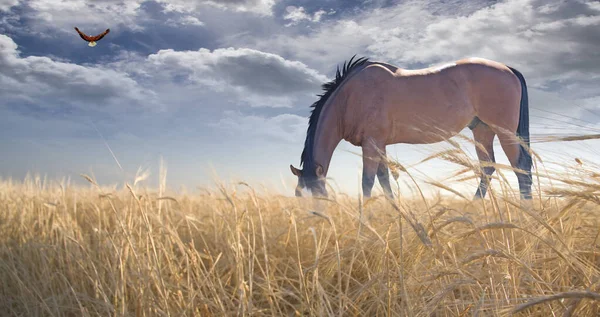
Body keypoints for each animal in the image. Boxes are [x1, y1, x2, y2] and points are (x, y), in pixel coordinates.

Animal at [290, 55, 536, 199]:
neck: (350, 96)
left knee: (521, 167)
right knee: (487, 167)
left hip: (504, 132)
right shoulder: (379, 145)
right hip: (482, 130)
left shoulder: (370, 144)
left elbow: (367, 182)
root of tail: (508, 68)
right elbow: (384, 179)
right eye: (298, 195)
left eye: (320, 197)